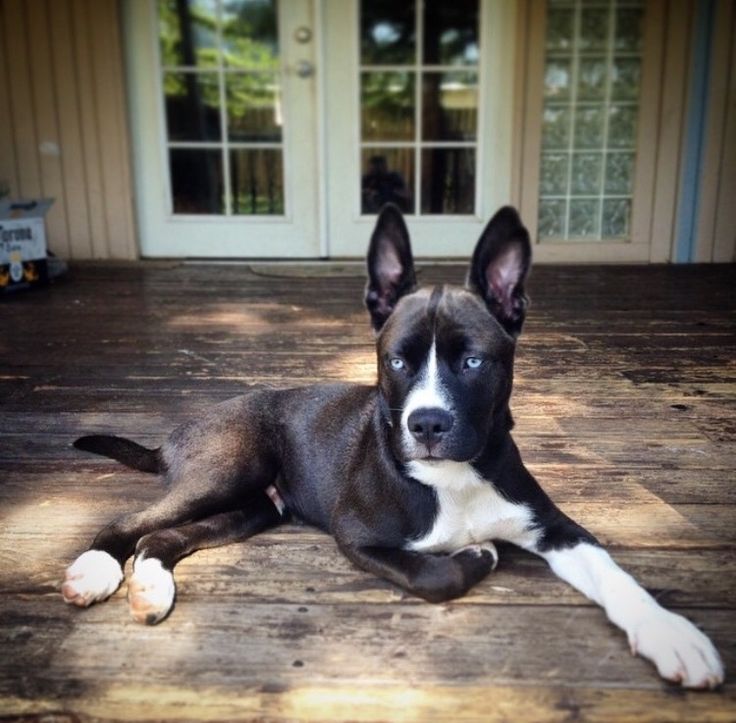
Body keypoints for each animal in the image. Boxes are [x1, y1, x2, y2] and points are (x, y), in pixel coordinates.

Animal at [64, 205, 724, 692]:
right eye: (398, 361)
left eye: (473, 362)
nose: (427, 424)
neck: (456, 477)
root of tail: (183, 429)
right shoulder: (359, 536)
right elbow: (436, 575)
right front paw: (477, 555)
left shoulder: (553, 526)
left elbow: (614, 572)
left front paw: (670, 633)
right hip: (230, 468)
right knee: (129, 523)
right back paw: (95, 570)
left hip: (254, 508)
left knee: (160, 538)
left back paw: (150, 588)